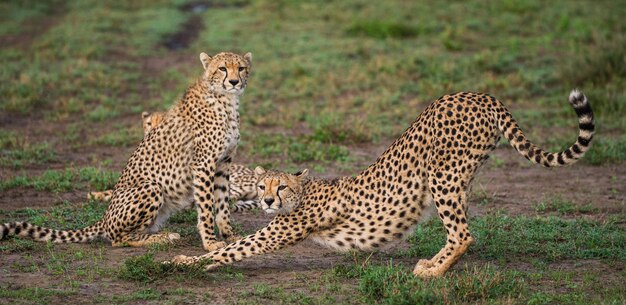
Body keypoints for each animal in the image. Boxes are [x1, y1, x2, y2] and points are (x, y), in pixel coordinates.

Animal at [167, 89, 596, 276]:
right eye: (262, 187)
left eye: (281, 187)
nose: (268, 202)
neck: (304, 192)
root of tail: (479, 94)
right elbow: (231, 246)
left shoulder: (276, 232)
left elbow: (230, 250)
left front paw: (184, 262)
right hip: (460, 178)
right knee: (461, 230)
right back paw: (433, 263)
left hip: (442, 176)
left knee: (463, 234)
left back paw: (432, 272)